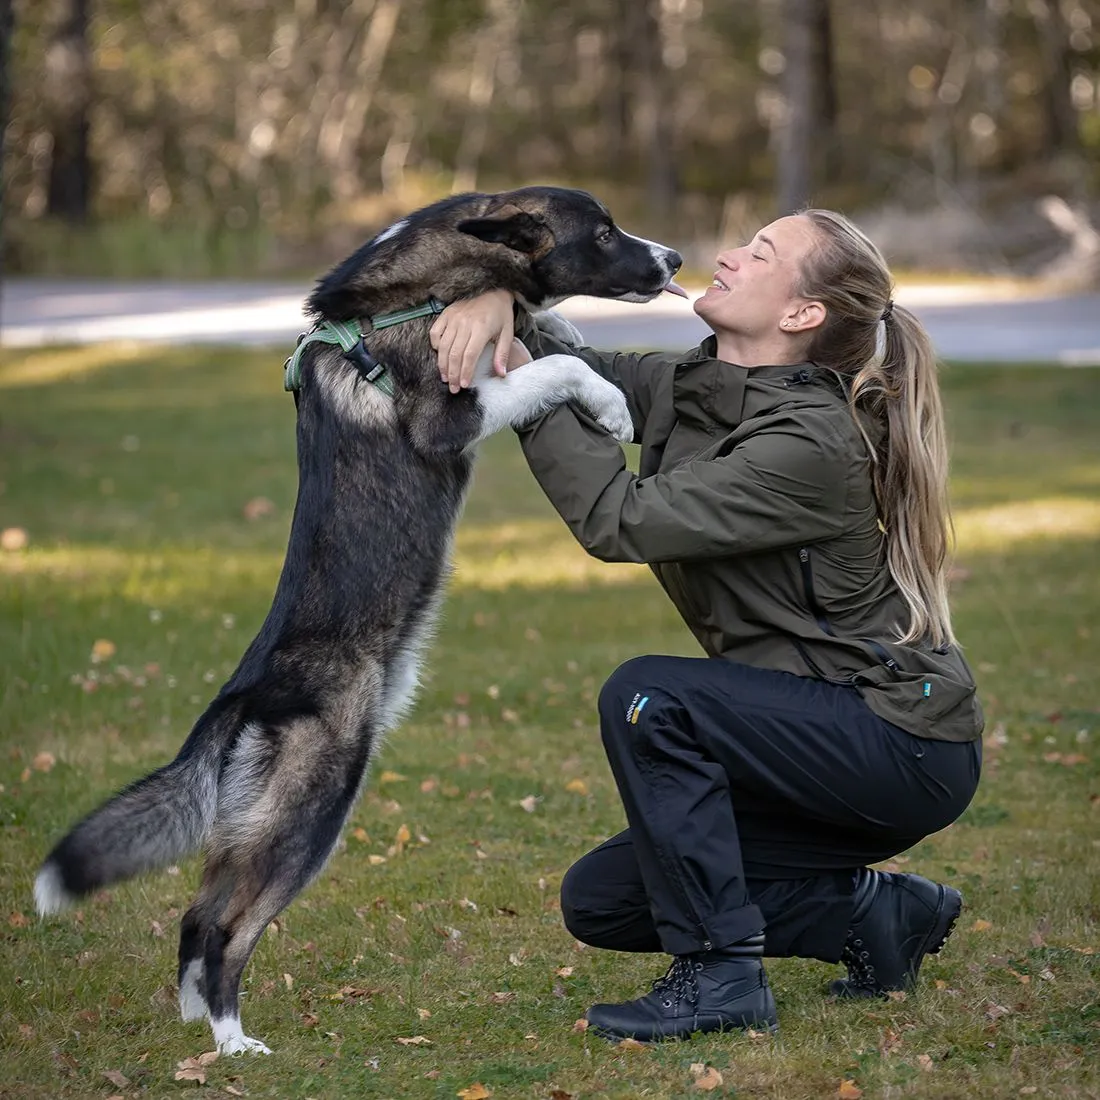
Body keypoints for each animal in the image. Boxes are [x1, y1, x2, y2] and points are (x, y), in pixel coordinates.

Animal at [34, 184, 682, 1051]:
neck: (428, 278)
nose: (676, 259)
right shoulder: (448, 416)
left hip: (261, 822)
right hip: (315, 803)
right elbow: (557, 366)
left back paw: (200, 1025)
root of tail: (244, 695)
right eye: (605, 233)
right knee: (226, 928)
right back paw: (235, 1041)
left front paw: (561, 331)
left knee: (194, 916)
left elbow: (549, 336)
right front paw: (607, 401)